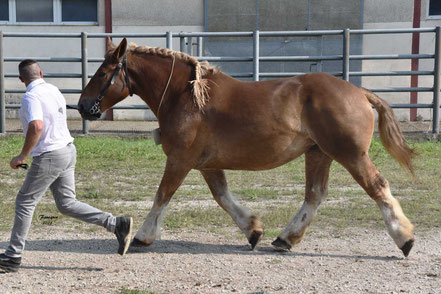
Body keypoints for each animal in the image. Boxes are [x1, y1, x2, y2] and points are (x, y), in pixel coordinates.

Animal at [77, 38, 414, 256]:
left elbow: (163, 196)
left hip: (350, 154)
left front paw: (143, 237)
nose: (82, 106)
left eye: (103, 73)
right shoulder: (207, 164)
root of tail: (358, 91)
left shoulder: (180, 159)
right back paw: (285, 239)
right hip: (319, 154)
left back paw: (405, 239)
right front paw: (253, 231)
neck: (186, 97)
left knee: (377, 186)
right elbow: (223, 197)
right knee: (315, 195)